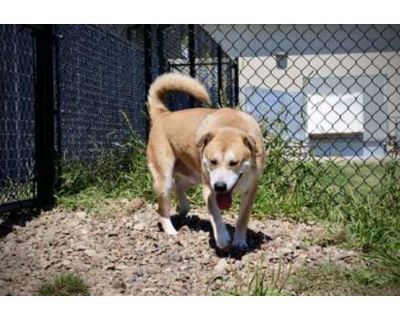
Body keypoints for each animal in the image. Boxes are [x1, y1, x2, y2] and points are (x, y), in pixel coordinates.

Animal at [145, 72, 264, 250]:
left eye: (234, 162)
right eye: (213, 161)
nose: (220, 186)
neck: (231, 126)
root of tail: (164, 115)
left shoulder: (251, 189)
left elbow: (243, 218)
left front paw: (239, 241)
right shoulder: (208, 189)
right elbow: (215, 214)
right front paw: (222, 238)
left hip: (193, 176)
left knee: (179, 186)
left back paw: (183, 209)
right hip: (165, 178)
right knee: (162, 208)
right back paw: (171, 231)